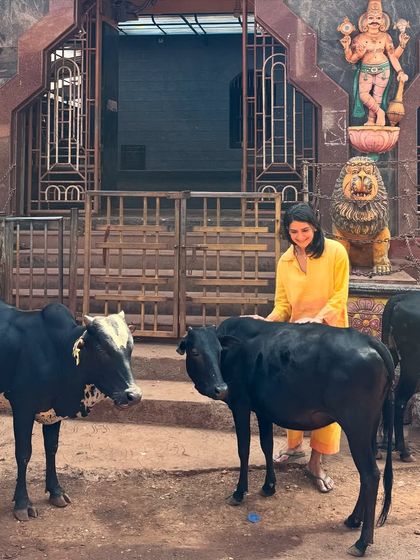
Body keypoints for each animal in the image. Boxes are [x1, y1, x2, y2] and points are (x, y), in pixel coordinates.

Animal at [0, 301, 142, 521]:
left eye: (130, 348)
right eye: (100, 348)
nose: (133, 395)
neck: (57, 353)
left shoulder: (54, 412)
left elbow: (52, 448)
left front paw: (56, 492)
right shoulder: (22, 406)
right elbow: (23, 454)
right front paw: (22, 503)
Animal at [177, 317, 395, 558]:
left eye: (218, 351)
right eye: (195, 351)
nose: (221, 388)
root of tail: (371, 341)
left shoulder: (241, 405)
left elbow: (244, 449)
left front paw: (239, 492)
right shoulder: (262, 410)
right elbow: (267, 446)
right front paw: (269, 486)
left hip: (356, 426)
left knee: (370, 474)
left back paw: (362, 542)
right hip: (370, 427)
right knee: (366, 475)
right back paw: (353, 519)